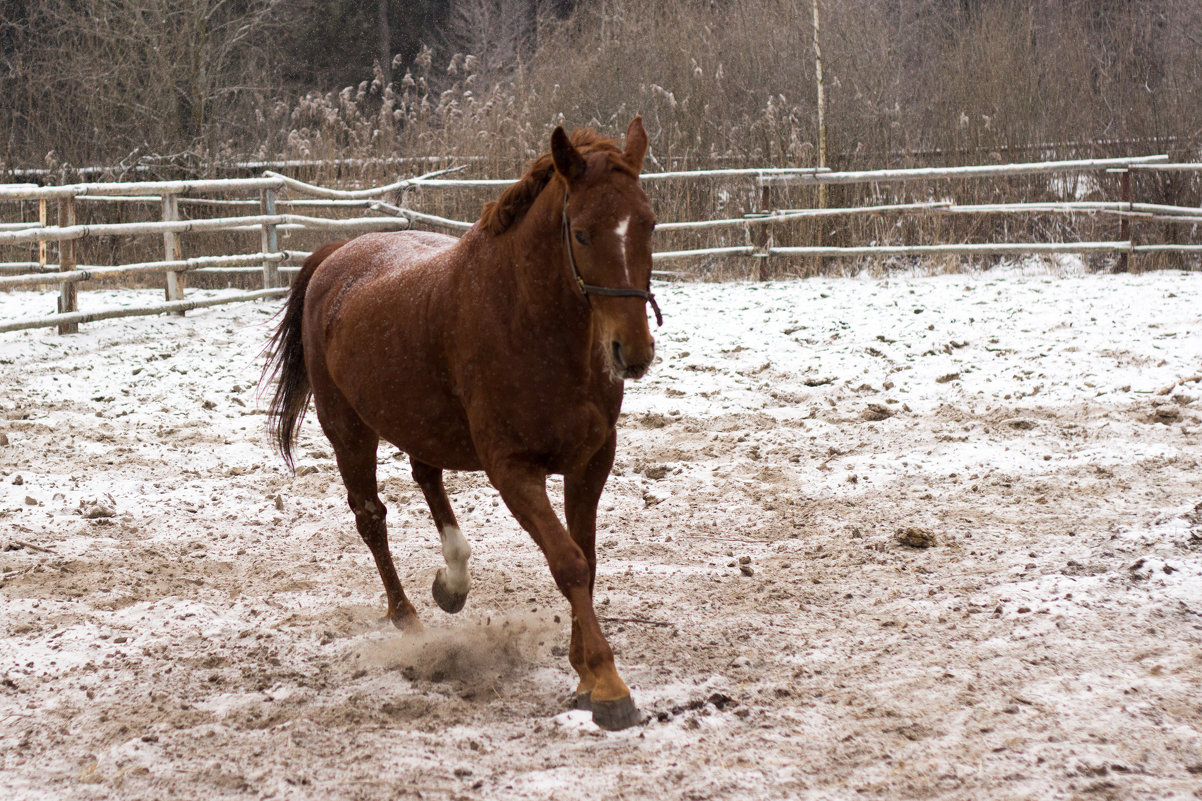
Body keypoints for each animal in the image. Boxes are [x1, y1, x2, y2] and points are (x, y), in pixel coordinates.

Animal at [260, 117, 658, 721]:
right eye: (583, 233)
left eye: (649, 224)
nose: (631, 352)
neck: (528, 322)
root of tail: (338, 252)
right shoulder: (512, 469)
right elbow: (567, 561)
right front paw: (608, 686)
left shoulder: (591, 460)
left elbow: (585, 559)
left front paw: (585, 673)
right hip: (348, 431)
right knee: (371, 517)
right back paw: (409, 619)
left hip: (422, 421)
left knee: (426, 476)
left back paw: (452, 582)